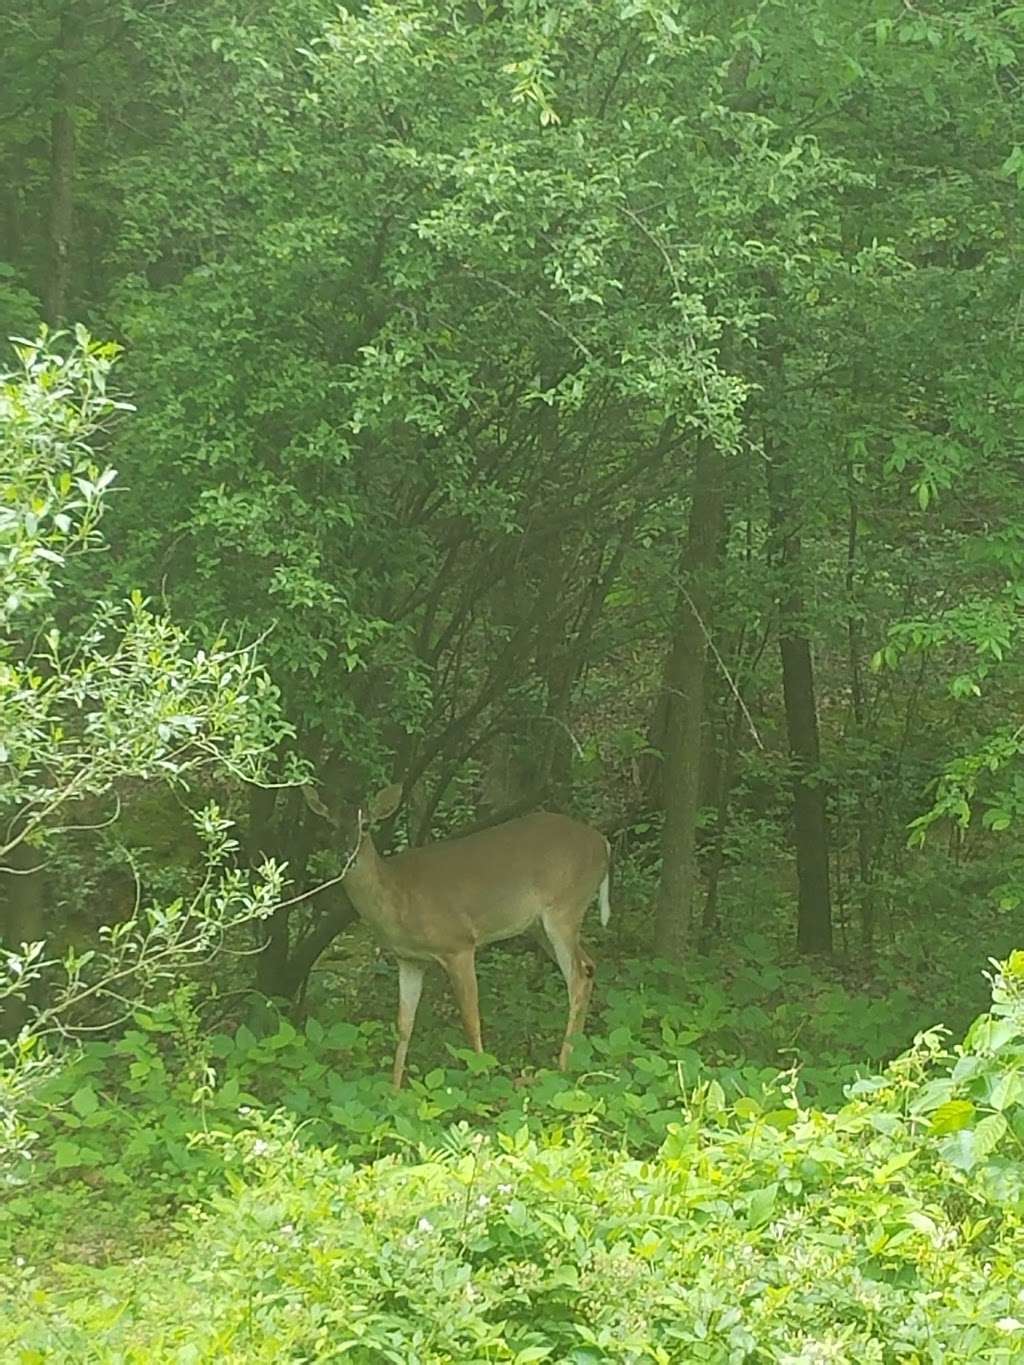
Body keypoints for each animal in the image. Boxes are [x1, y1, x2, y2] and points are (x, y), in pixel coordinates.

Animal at [303, 786, 608, 1092]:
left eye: (365, 825)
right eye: (330, 824)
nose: (347, 856)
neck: (396, 897)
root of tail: (603, 843)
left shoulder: (459, 944)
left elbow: (471, 1019)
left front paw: (483, 1077)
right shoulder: (409, 958)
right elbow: (404, 1025)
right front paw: (394, 1089)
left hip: (564, 907)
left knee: (578, 976)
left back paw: (562, 1067)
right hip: (539, 925)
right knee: (588, 966)